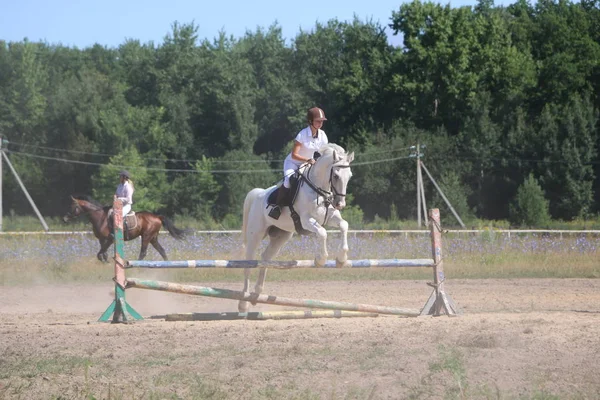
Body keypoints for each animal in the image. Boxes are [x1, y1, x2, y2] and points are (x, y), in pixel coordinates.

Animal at [237, 143, 354, 312]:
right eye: (336, 176)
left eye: (349, 176)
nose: (340, 204)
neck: (319, 190)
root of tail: (258, 194)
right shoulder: (306, 220)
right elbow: (322, 233)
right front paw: (321, 259)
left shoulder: (331, 217)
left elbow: (344, 225)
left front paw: (341, 259)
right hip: (255, 235)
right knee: (249, 264)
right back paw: (243, 303)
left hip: (281, 236)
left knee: (265, 258)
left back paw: (257, 294)